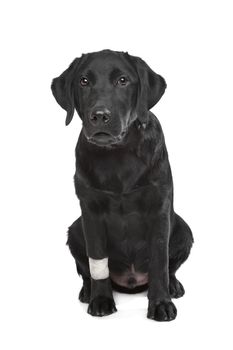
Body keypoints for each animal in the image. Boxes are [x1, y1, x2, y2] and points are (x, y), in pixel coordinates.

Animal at [52, 50, 194, 322]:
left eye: (123, 81)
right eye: (83, 81)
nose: (100, 115)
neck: (118, 154)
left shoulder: (159, 208)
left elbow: (160, 262)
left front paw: (161, 303)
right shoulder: (91, 211)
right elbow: (97, 264)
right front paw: (100, 300)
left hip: (183, 228)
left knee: (169, 268)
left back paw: (173, 286)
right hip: (75, 229)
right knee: (86, 271)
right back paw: (87, 291)